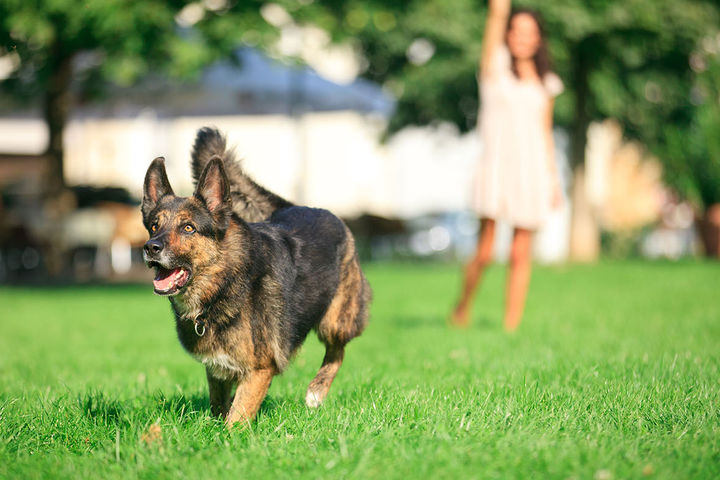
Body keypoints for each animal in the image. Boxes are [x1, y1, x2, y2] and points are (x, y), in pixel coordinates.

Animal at [141, 127, 372, 428]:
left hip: (336, 320)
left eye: (188, 228)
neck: (226, 282)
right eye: (154, 226)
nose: (151, 248)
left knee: (338, 351)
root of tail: (305, 206)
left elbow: (235, 420)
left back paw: (316, 392)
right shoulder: (218, 369)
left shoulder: (260, 370)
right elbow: (219, 406)